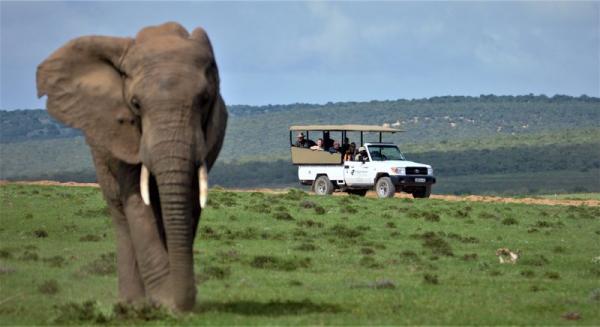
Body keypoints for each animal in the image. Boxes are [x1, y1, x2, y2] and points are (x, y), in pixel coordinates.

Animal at [36, 21, 227, 312]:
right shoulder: (121, 134)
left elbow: (190, 199)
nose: (182, 303)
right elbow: (137, 202)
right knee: (120, 211)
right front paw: (162, 299)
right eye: (135, 104)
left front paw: (167, 300)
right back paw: (131, 302)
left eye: (205, 100)